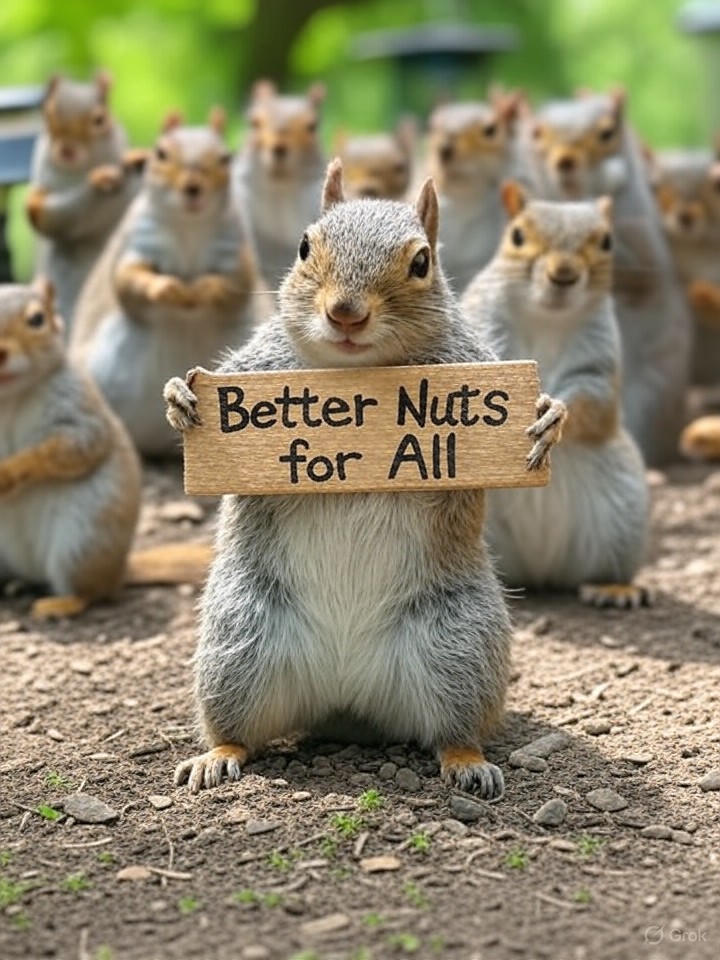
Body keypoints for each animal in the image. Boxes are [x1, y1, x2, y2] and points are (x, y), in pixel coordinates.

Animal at [0, 280, 212, 619]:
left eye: (37, 319)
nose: (2, 353)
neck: (7, 397)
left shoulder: (78, 408)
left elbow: (78, 446)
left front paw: (8, 473)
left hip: (83, 539)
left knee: (92, 590)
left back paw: (61, 602)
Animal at [25, 73, 144, 327]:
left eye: (100, 119)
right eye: (47, 114)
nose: (67, 149)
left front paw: (134, 157)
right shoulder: (44, 185)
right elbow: (40, 213)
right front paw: (100, 177)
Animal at [71, 107, 258, 458]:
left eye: (225, 157)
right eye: (159, 153)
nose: (193, 186)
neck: (188, 227)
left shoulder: (235, 252)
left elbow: (234, 287)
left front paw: (201, 289)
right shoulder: (138, 243)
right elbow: (128, 281)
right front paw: (167, 287)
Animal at [164, 159, 563, 796]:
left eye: (423, 262)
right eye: (304, 246)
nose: (345, 313)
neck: (357, 372)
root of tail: (347, 698)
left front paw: (547, 417)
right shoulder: (257, 364)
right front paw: (181, 397)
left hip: (462, 644)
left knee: (454, 729)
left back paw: (468, 763)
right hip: (239, 643)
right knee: (238, 726)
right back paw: (217, 756)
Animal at [462, 182, 649, 608]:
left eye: (607, 241)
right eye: (516, 236)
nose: (563, 275)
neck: (547, 318)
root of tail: (539, 570)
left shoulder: (599, 358)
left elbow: (598, 406)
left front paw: (554, 414)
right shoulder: (482, 321)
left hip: (623, 515)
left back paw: (615, 588)